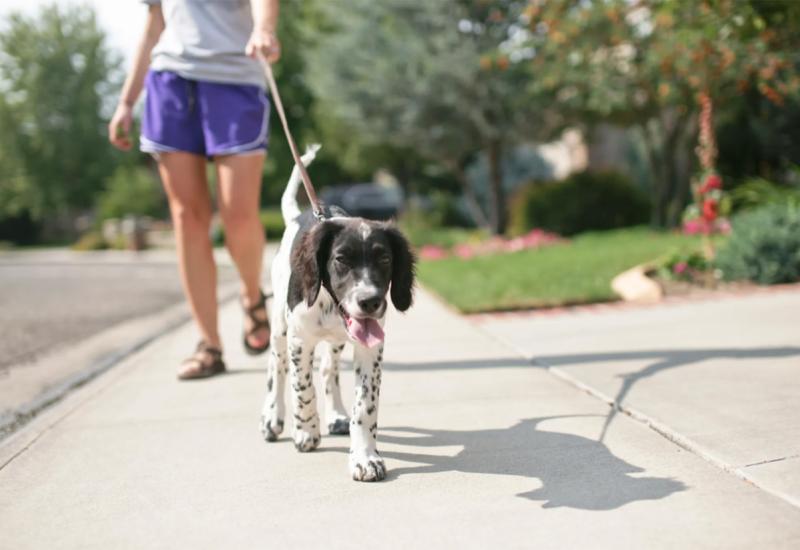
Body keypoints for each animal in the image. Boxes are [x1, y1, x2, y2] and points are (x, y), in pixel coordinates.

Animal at [260, 146, 416, 484]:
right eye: (341, 259)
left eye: (385, 259)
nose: (370, 301)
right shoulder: (300, 340)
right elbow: (302, 389)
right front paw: (305, 432)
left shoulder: (370, 347)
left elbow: (365, 406)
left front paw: (365, 457)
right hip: (279, 329)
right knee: (277, 369)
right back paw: (273, 417)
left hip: (336, 340)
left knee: (328, 370)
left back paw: (336, 416)